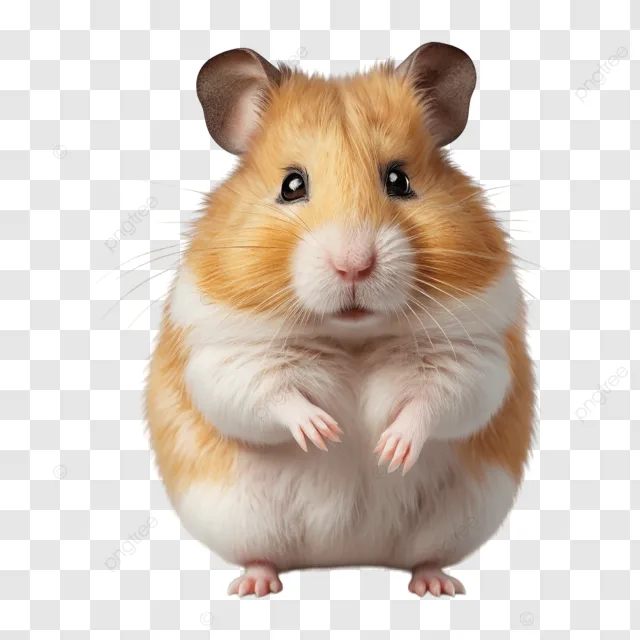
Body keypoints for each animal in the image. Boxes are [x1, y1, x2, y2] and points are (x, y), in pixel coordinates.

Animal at [145, 43, 535, 598]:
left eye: (399, 180)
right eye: (291, 185)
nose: (354, 265)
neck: (353, 337)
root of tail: (344, 556)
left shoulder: (474, 355)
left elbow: (440, 399)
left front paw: (389, 451)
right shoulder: (226, 355)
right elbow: (266, 395)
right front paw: (324, 433)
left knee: (427, 557)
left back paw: (436, 585)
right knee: (261, 554)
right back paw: (255, 585)